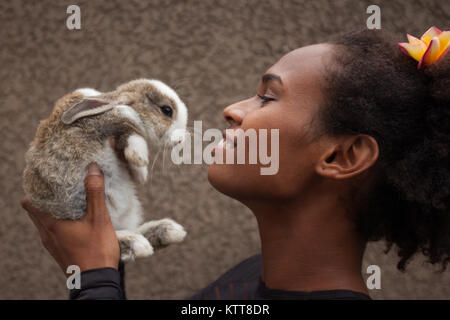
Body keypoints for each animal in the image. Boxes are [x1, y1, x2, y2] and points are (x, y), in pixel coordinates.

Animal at [22, 79, 188, 262]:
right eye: (167, 110)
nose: (181, 140)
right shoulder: (99, 123)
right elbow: (126, 119)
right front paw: (140, 157)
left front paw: (140, 172)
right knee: (116, 240)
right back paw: (136, 243)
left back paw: (168, 231)